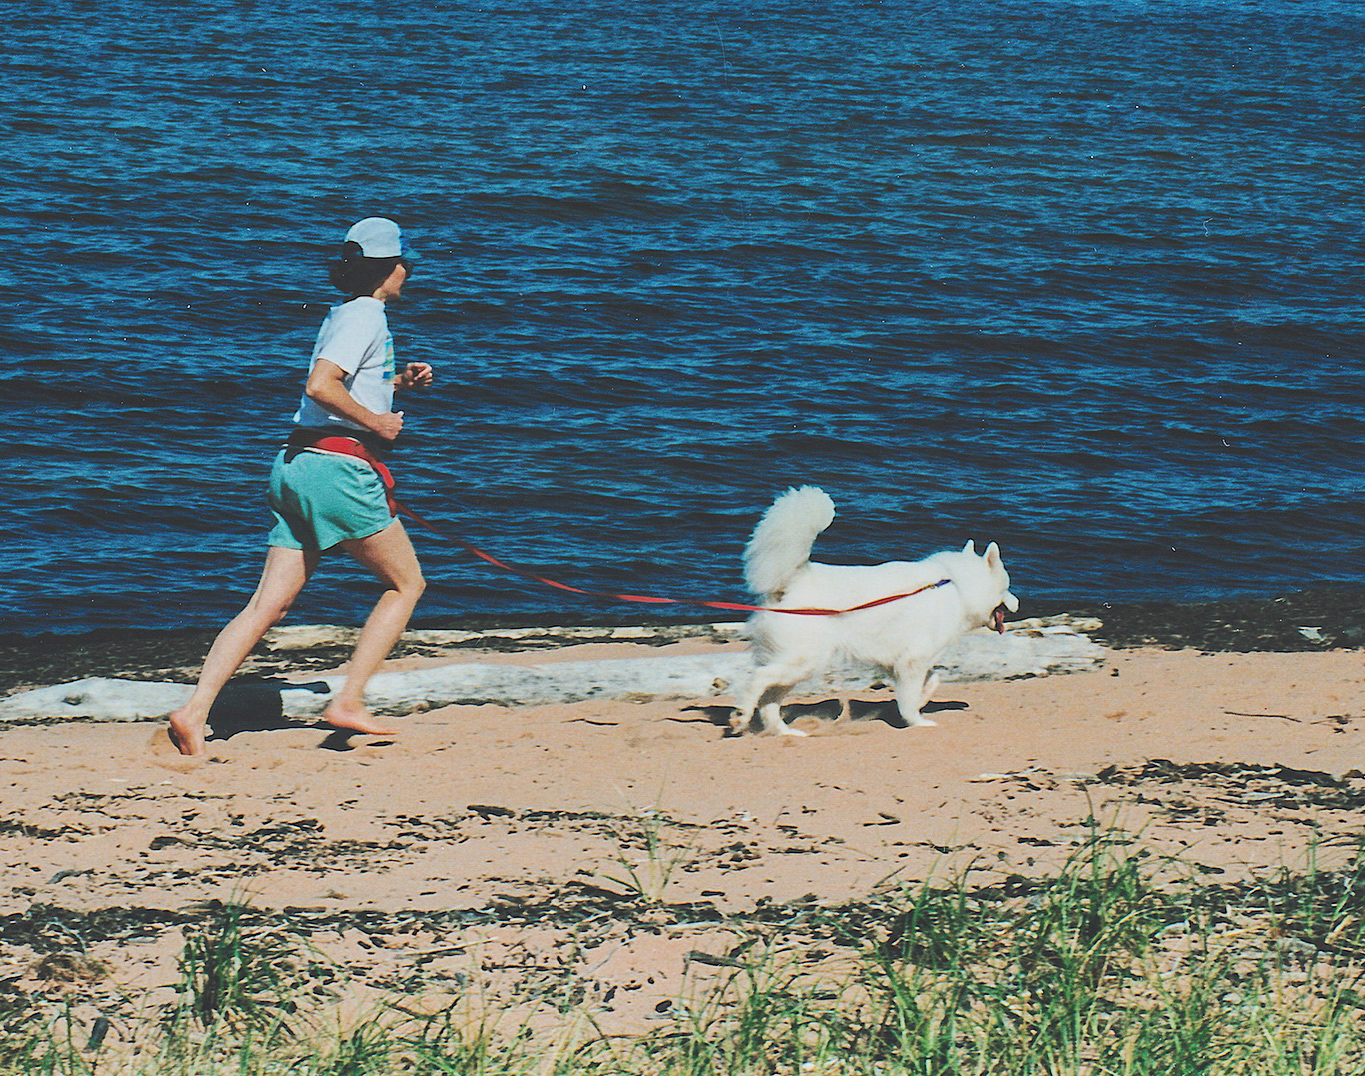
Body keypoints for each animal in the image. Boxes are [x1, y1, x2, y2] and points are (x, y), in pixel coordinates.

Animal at [737, 486, 1015, 731]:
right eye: (1006, 586)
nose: (1017, 602)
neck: (957, 586)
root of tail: (794, 579)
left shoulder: (908, 663)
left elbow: (930, 681)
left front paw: (923, 700)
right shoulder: (912, 661)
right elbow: (910, 699)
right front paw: (917, 721)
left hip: (795, 665)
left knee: (768, 701)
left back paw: (784, 732)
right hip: (804, 660)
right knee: (758, 679)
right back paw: (741, 716)